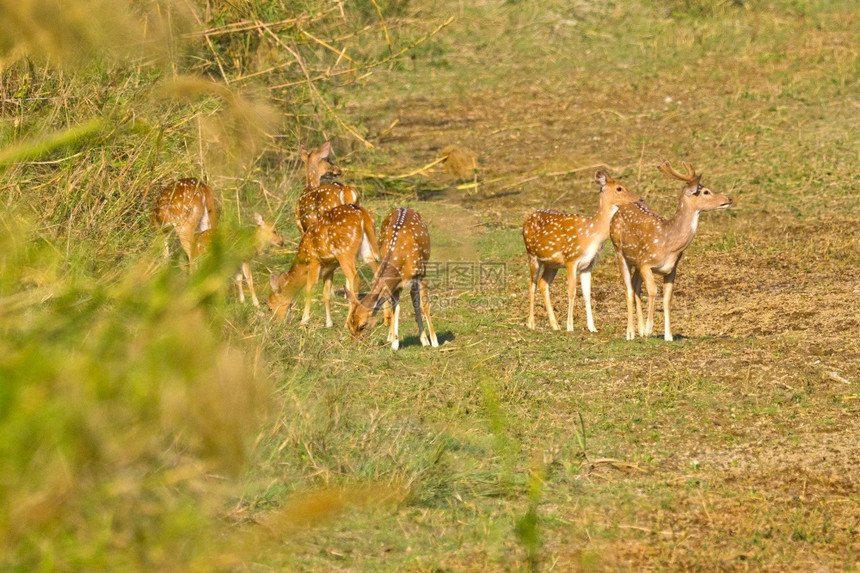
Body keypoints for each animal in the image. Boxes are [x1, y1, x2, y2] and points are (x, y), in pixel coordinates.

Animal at [344, 206, 436, 348]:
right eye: (349, 325)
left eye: (362, 325)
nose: (355, 344)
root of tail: (404, 207)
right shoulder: (396, 284)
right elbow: (396, 309)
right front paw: (394, 343)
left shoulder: (421, 274)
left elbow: (424, 305)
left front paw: (435, 341)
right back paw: (392, 337)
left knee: (415, 300)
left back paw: (425, 341)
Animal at [520, 170, 640, 330]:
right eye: (619, 188)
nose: (640, 199)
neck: (592, 234)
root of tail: (527, 219)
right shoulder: (571, 259)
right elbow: (572, 291)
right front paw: (570, 327)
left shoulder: (587, 265)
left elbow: (587, 293)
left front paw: (592, 328)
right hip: (532, 254)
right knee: (531, 284)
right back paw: (531, 323)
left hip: (552, 264)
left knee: (542, 284)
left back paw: (555, 325)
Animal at [612, 161, 732, 340]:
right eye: (705, 191)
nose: (729, 198)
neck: (669, 245)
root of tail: (618, 210)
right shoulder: (646, 262)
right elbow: (653, 291)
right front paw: (650, 328)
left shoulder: (671, 268)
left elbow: (667, 298)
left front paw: (668, 335)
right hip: (619, 251)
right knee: (628, 289)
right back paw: (631, 333)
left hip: (636, 263)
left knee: (635, 286)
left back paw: (640, 330)